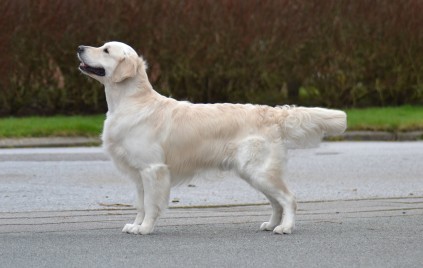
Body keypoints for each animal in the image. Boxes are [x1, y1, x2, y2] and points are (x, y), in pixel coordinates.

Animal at [77, 41, 348, 234]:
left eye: (106, 50)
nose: (79, 48)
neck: (132, 102)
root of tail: (272, 113)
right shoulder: (139, 175)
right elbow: (141, 205)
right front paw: (136, 225)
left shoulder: (153, 170)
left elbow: (152, 204)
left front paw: (144, 228)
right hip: (255, 174)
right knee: (276, 202)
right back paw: (271, 224)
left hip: (258, 171)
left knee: (289, 199)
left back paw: (285, 228)